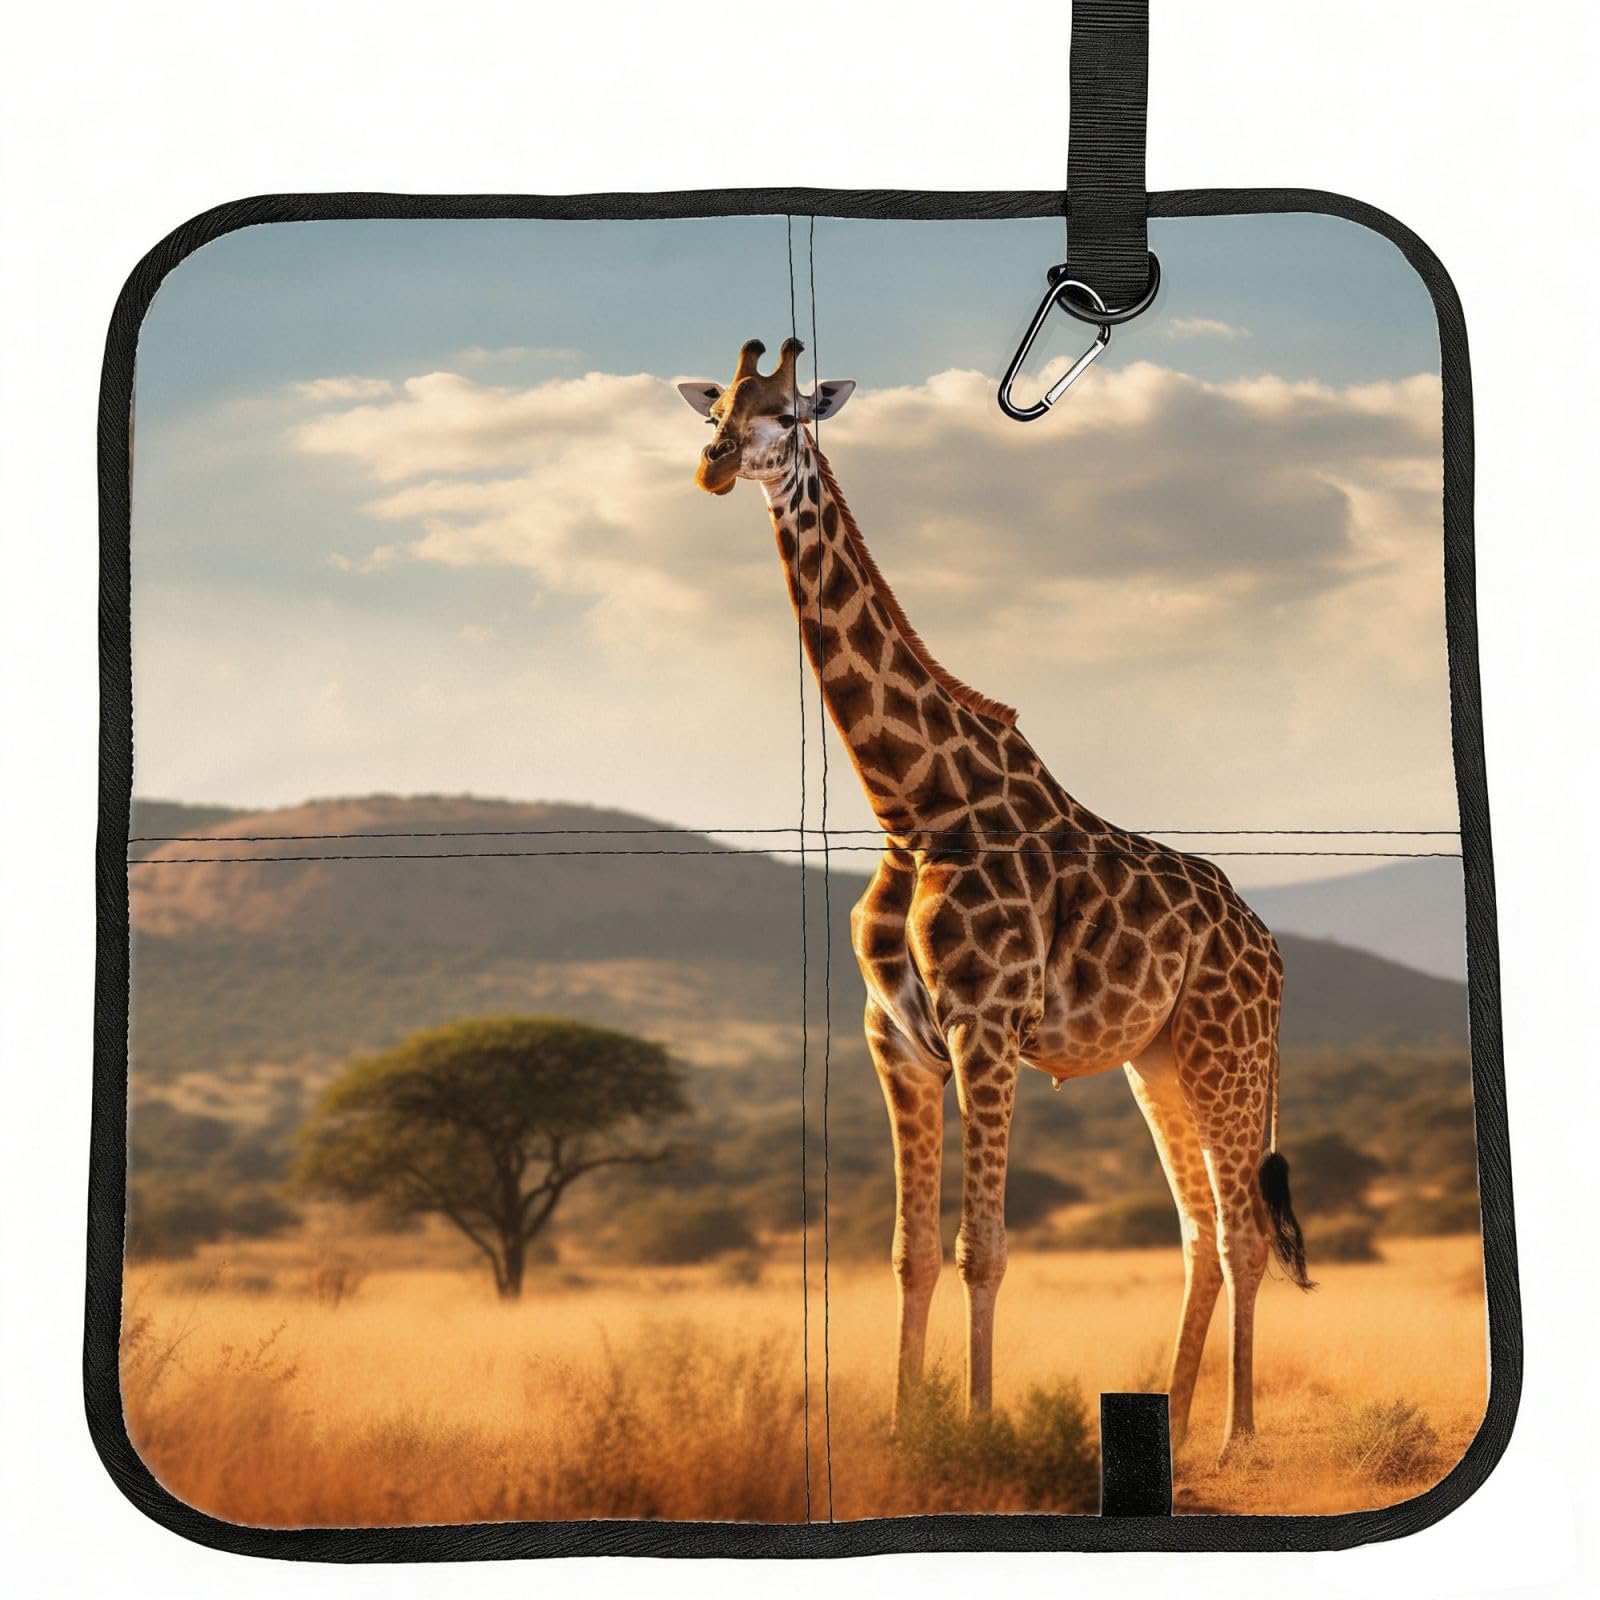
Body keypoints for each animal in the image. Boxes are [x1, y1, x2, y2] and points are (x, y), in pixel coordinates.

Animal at [678, 338, 1314, 1460]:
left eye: (787, 414)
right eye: (715, 409)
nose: (712, 466)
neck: (912, 804)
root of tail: (1269, 948)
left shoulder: (986, 1026)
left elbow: (984, 1247)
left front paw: (974, 1429)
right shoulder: (895, 1039)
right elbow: (911, 1253)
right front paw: (902, 1430)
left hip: (1226, 1049)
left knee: (1242, 1229)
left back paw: (1235, 1437)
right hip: (1156, 1059)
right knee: (1198, 1230)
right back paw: (1175, 1420)